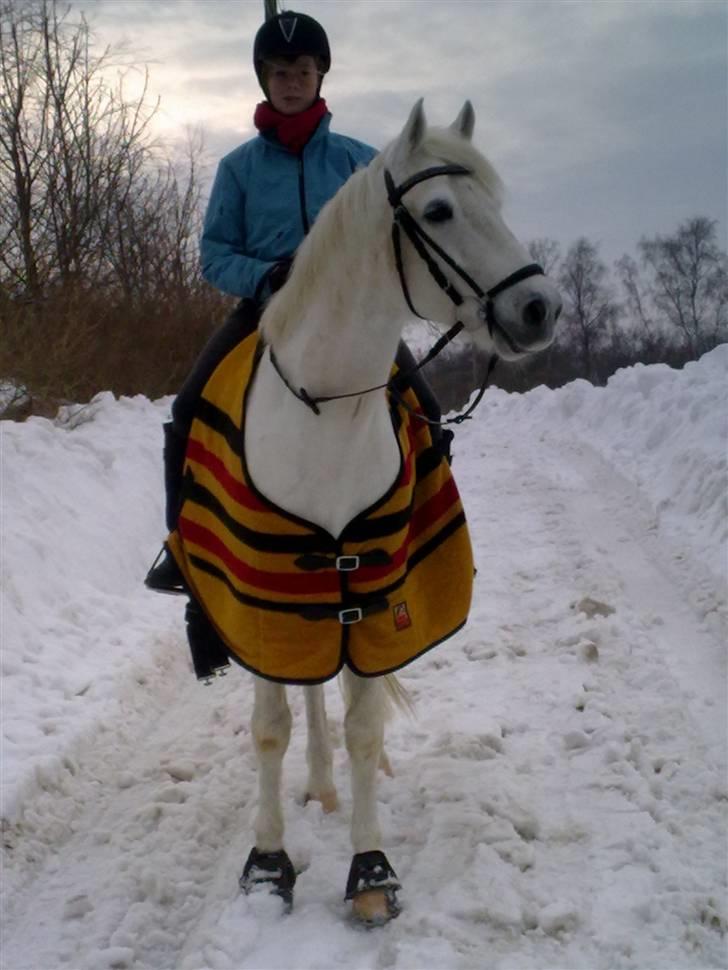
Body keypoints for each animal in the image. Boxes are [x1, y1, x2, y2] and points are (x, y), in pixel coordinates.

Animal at [168, 98, 560, 924]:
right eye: (438, 210)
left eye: (497, 201)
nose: (539, 308)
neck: (327, 412)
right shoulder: (262, 595)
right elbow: (271, 728)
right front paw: (268, 864)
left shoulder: (373, 586)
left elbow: (363, 724)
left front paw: (370, 866)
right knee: (307, 694)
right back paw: (315, 787)